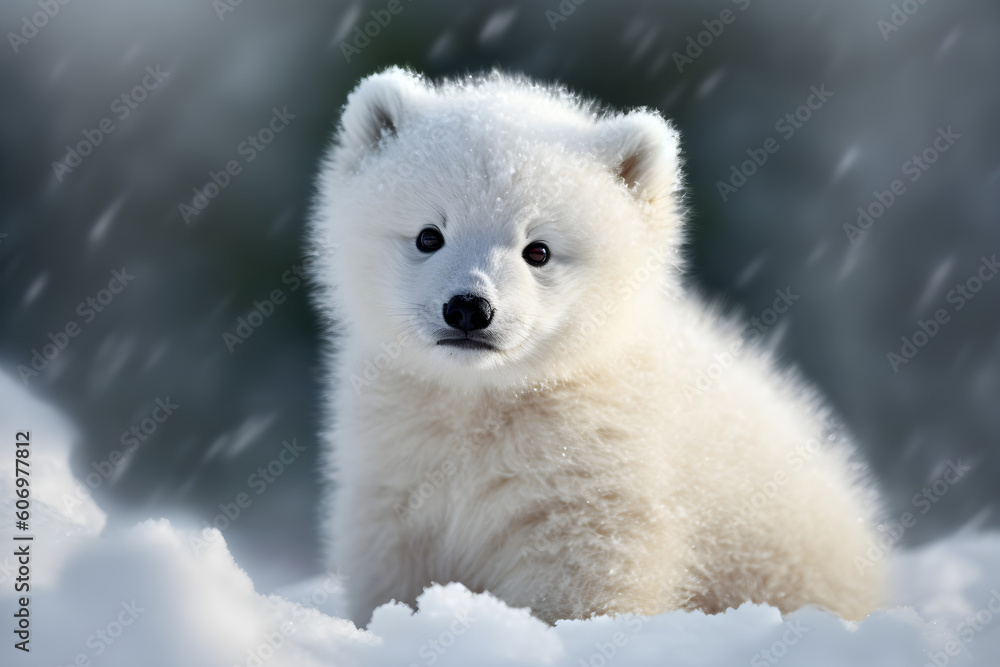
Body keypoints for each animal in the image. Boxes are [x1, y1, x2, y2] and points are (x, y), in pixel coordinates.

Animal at [307, 67, 886, 627]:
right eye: (429, 235)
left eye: (538, 250)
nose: (469, 307)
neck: (485, 404)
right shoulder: (396, 477)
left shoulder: (596, 491)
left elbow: (584, 587)